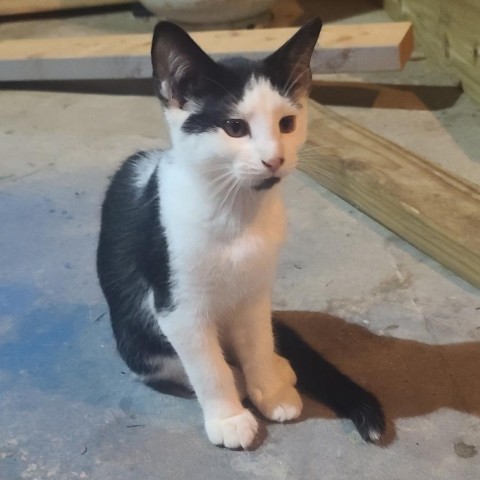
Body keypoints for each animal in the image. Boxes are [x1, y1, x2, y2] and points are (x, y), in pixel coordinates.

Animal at [97, 17, 386, 446]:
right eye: (235, 127)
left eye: (287, 124)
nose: (274, 159)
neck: (235, 214)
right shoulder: (177, 308)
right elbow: (207, 367)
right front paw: (229, 417)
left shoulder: (254, 290)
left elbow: (257, 341)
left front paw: (269, 390)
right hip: (136, 337)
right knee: (169, 363)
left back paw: (277, 367)